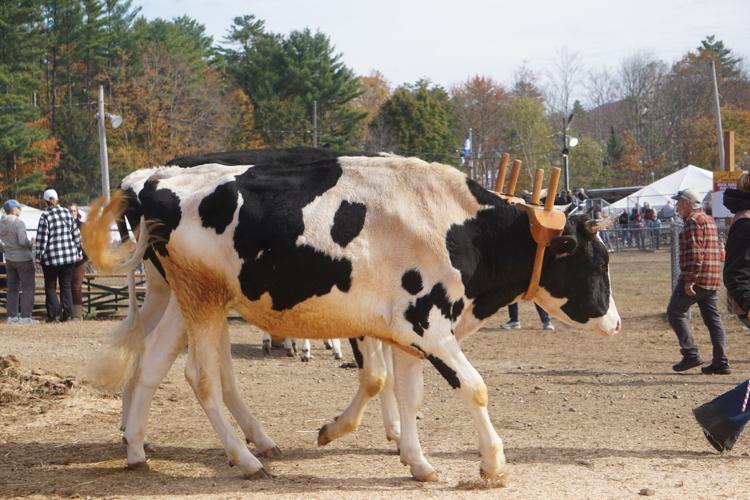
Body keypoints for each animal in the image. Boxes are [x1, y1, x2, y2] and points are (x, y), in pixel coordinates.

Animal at [83, 152, 620, 483]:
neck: (455, 227)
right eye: (597, 261)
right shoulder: (427, 326)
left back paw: (138, 448)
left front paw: (417, 461)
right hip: (200, 299)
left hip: (190, 300)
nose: (615, 323)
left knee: (154, 363)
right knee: (201, 376)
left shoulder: (408, 333)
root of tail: (156, 180)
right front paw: (492, 464)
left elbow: (407, 394)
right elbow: (471, 387)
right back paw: (245, 458)